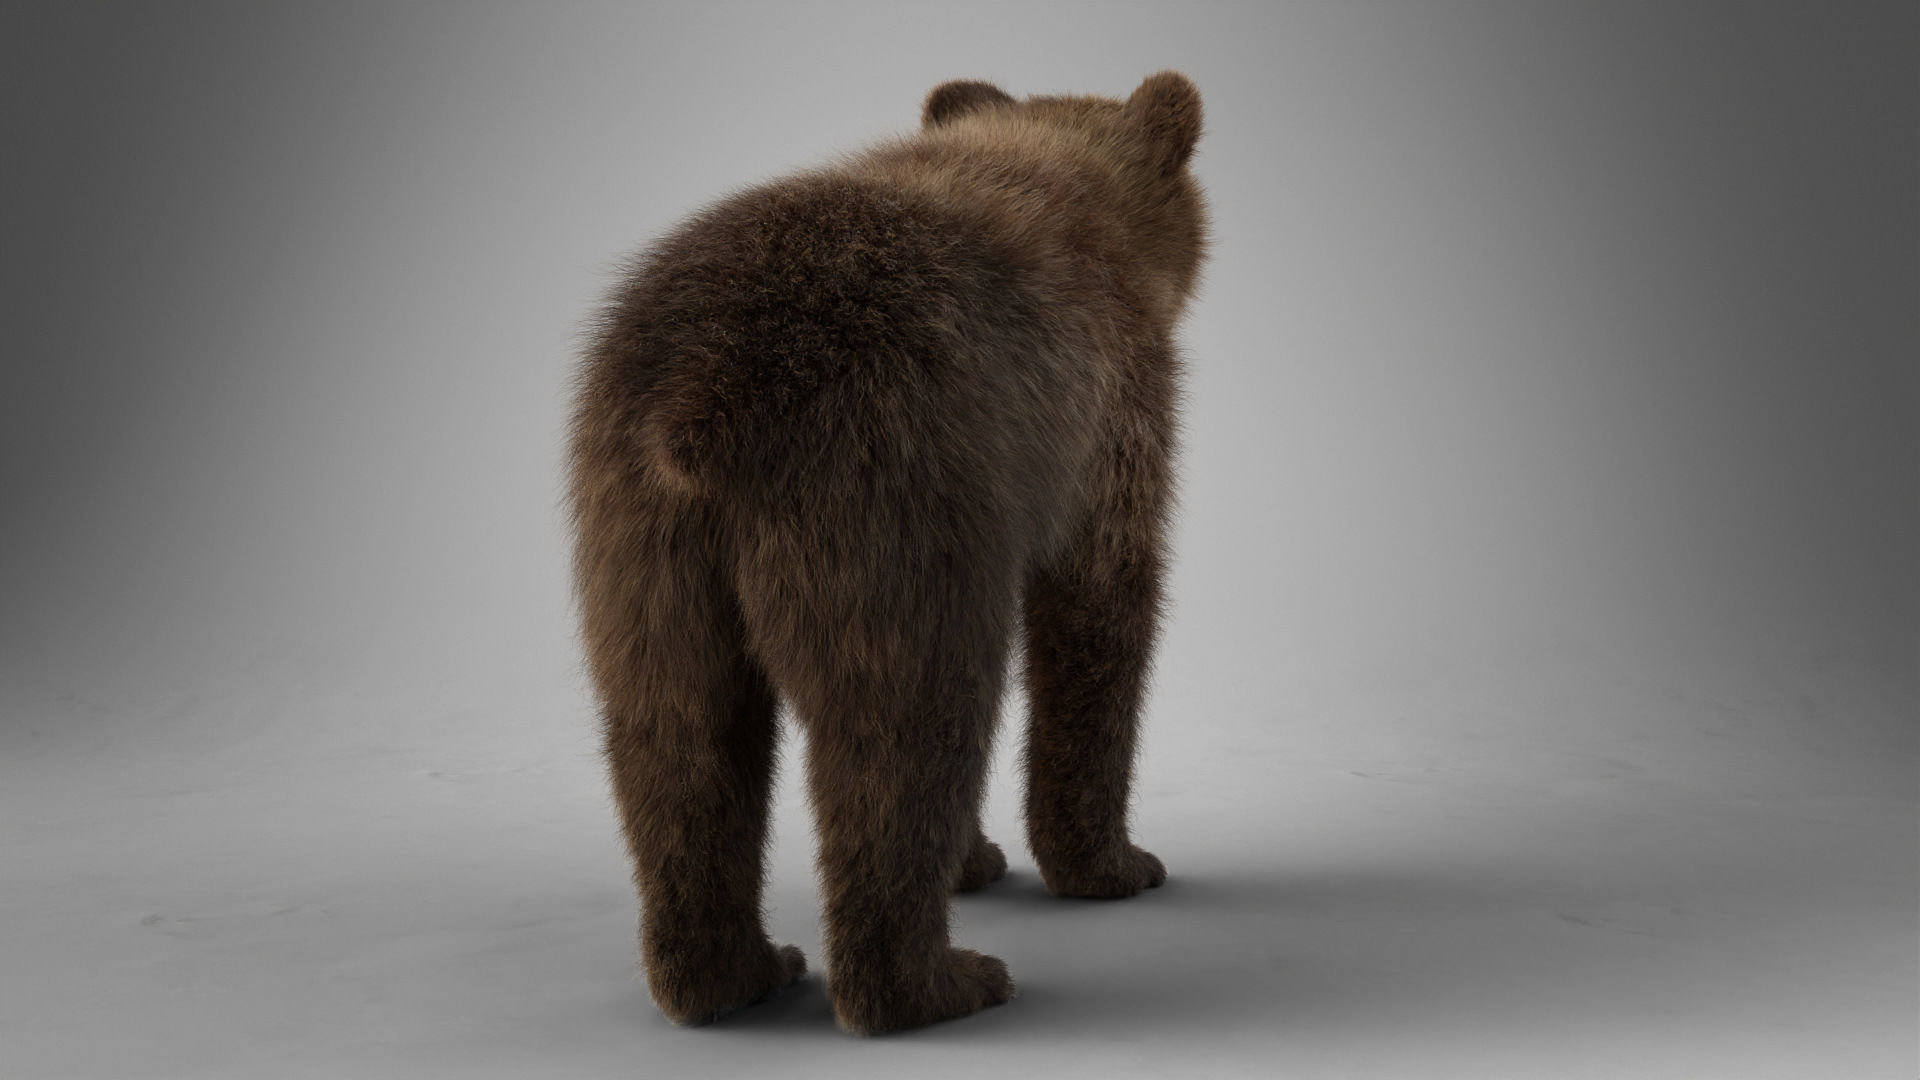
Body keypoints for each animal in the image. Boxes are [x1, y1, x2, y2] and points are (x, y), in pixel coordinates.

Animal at [566, 72, 1208, 1035]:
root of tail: (702, 401)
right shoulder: (1104, 406)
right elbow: (1097, 609)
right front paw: (1114, 862)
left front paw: (977, 859)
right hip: (884, 495)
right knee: (904, 725)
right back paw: (936, 983)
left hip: (640, 545)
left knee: (679, 737)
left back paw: (736, 972)